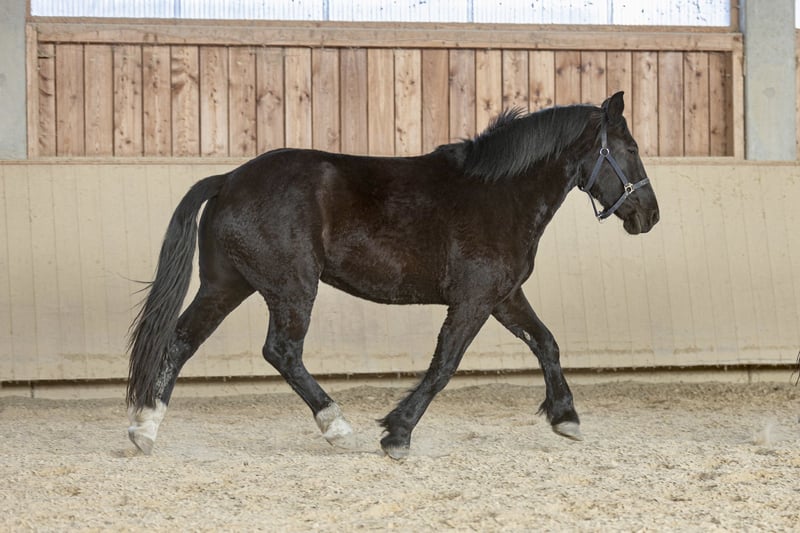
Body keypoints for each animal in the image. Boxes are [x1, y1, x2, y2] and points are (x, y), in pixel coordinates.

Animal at [126, 91, 659, 459]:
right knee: (281, 351)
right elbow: (445, 364)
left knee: (180, 342)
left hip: (226, 285)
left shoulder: (503, 296)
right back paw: (337, 426)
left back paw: (144, 428)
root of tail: (228, 180)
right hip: (291, 287)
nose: (649, 216)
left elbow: (546, 342)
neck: (501, 193)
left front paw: (566, 417)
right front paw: (397, 434)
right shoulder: (474, 300)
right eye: (631, 148)